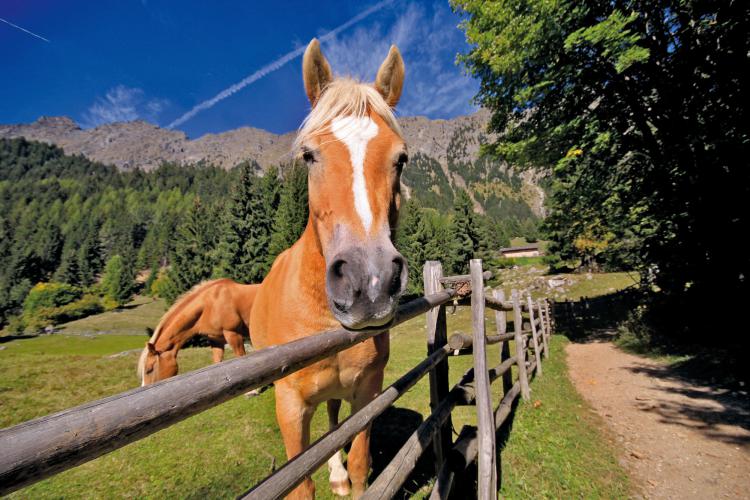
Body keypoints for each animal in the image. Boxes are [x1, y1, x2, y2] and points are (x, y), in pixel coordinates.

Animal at [250, 40, 408, 500]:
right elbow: (300, 484)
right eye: (309, 156)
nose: (369, 281)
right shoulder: (290, 406)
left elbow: (359, 463)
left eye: (401, 159)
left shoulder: (368, 390)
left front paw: (348, 474)